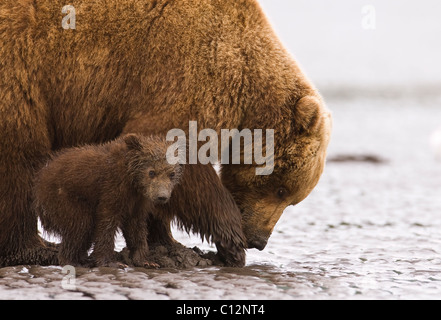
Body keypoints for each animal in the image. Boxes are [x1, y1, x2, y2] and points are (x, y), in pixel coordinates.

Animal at [0, 0, 330, 264]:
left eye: (293, 199)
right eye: (281, 189)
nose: (259, 240)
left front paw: (173, 246)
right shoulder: (190, 69)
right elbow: (176, 153)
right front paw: (227, 240)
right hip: (22, 68)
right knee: (20, 155)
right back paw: (37, 248)